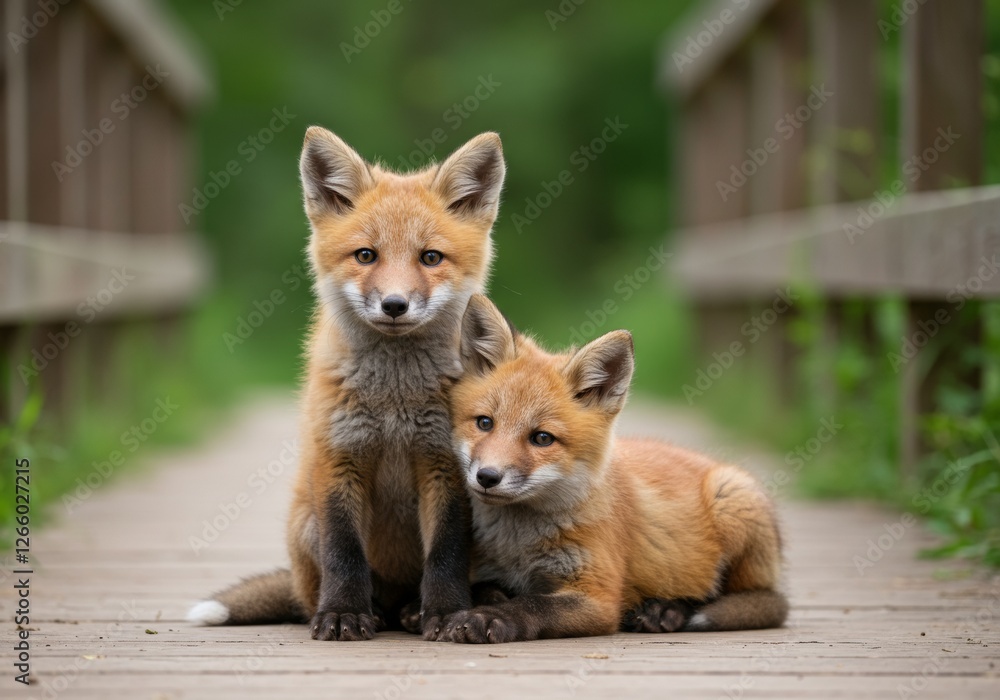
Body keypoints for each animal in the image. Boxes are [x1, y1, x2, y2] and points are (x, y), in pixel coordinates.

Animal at [187, 128, 506, 641]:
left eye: (430, 258)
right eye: (366, 256)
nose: (394, 305)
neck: (394, 399)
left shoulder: (446, 465)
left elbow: (446, 554)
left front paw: (445, 613)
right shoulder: (339, 456)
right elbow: (344, 552)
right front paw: (342, 614)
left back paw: (437, 607)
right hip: (304, 523)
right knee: (317, 592)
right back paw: (370, 609)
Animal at [438, 295, 788, 643]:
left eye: (542, 438)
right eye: (485, 423)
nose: (487, 477)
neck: (518, 547)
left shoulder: (599, 597)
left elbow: (531, 604)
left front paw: (488, 618)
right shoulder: (485, 571)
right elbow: (486, 590)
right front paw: (482, 606)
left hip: (731, 501)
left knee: (742, 599)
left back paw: (667, 610)